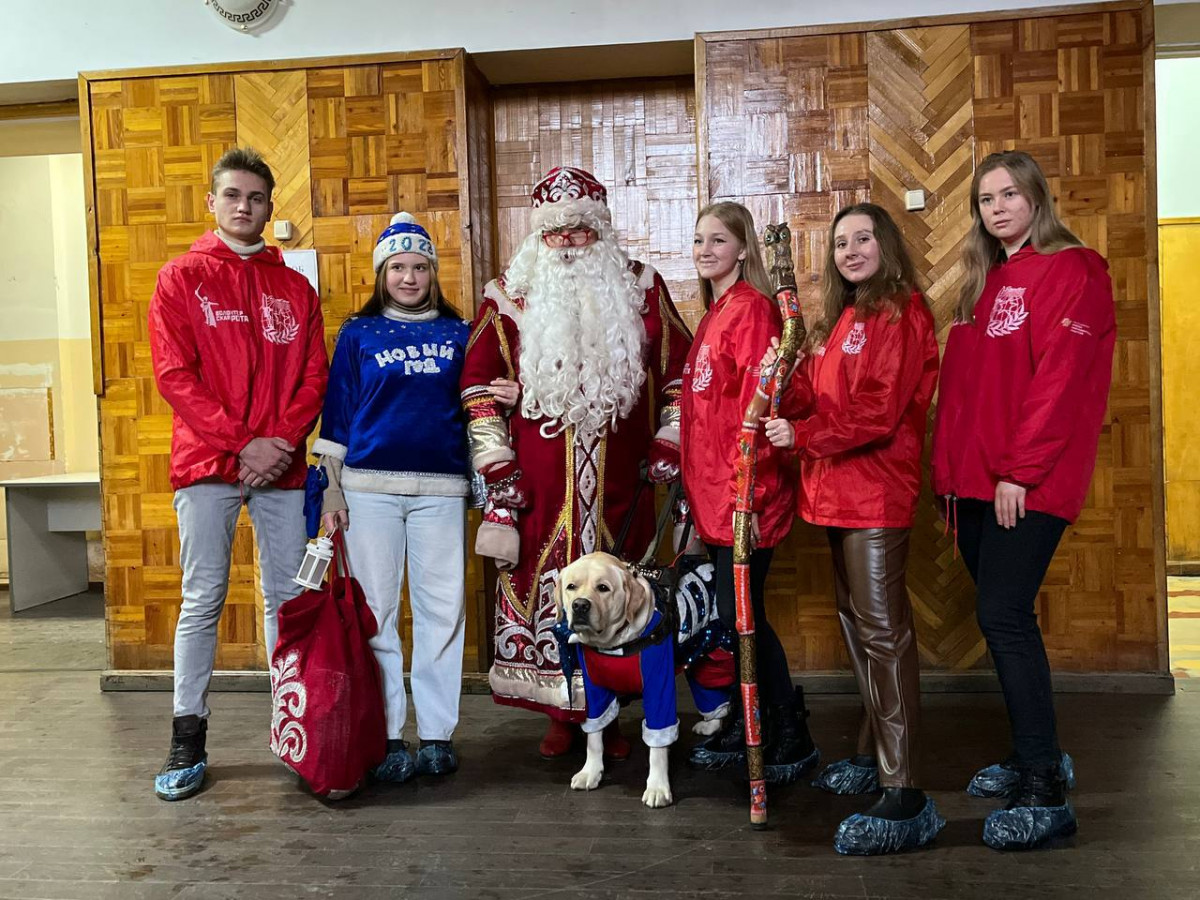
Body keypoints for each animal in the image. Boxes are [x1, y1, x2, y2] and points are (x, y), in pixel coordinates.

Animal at [559, 554, 729, 816]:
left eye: (603, 588)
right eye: (571, 587)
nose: (580, 605)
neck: (615, 643)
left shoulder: (658, 684)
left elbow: (657, 745)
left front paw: (658, 787)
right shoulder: (594, 688)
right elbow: (594, 735)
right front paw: (591, 771)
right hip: (700, 655)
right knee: (712, 693)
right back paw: (712, 724)